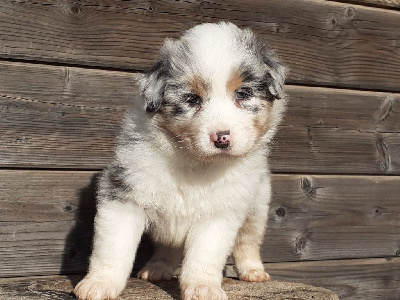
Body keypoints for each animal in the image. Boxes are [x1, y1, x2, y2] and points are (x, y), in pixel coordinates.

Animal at [74, 21, 288, 300]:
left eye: (243, 94)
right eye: (192, 99)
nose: (221, 138)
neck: (194, 162)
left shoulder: (222, 211)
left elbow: (205, 254)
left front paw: (203, 288)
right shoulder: (123, 195)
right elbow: (114, 247)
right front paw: (98, 284)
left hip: (257, 206)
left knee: (248, 241)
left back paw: (253, 272)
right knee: (168, 246)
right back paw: (157, 268)